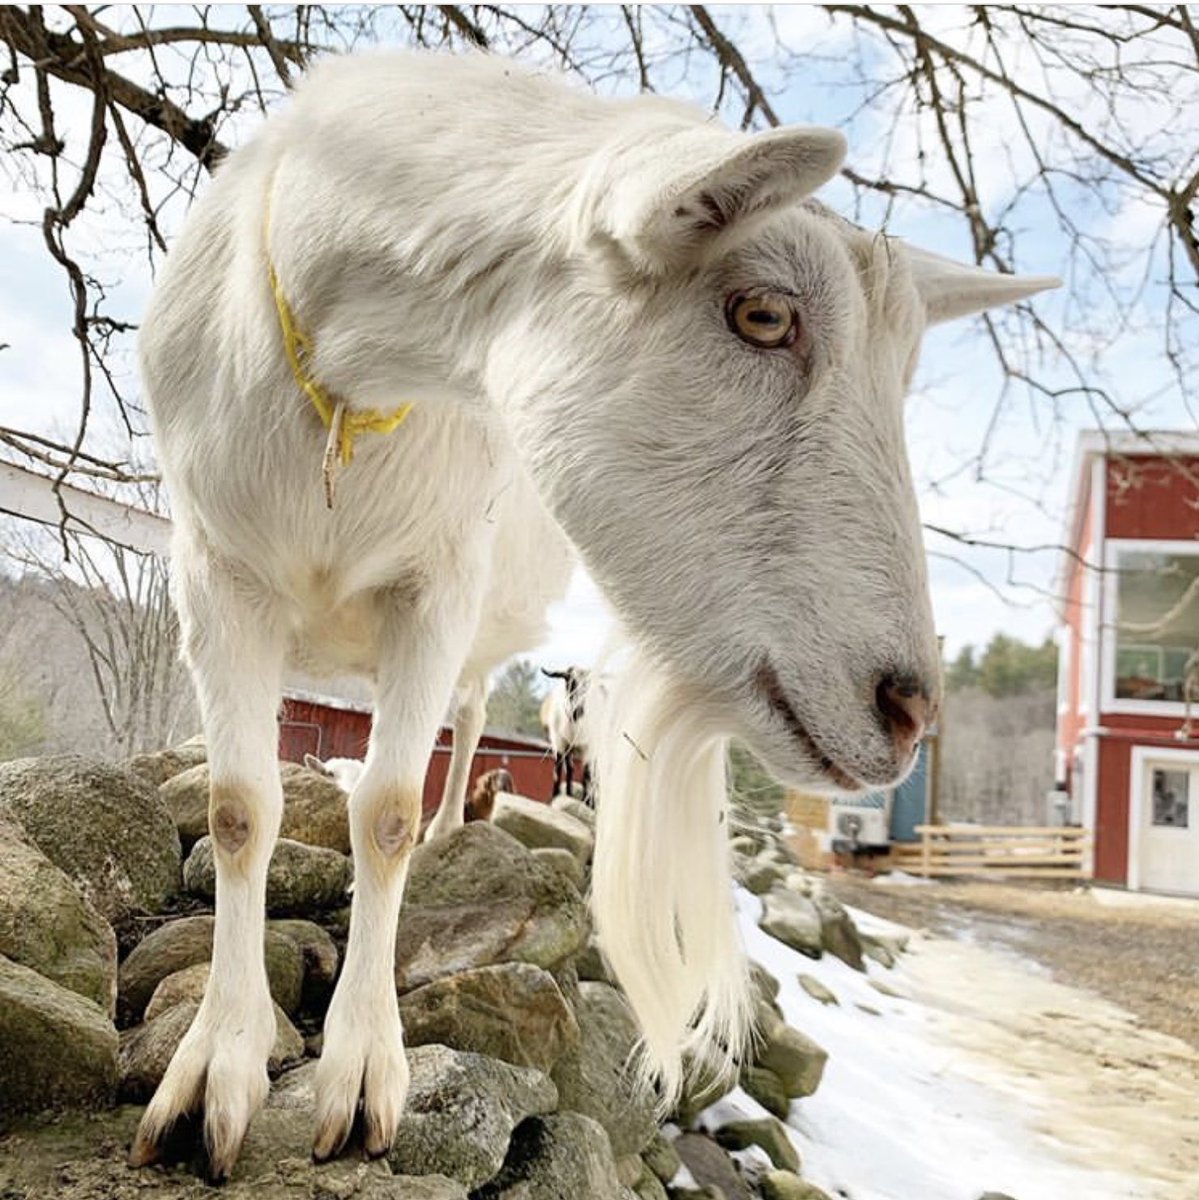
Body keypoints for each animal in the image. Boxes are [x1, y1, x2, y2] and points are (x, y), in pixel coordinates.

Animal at [540, 666, 592, 800]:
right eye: (571, 682)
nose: (579, 709)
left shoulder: (587, 747)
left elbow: (586, 774)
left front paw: (587, 802)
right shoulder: (559, 743)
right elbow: (558, 770)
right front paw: (555, 795)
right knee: (569, 768)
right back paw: (568, 793)